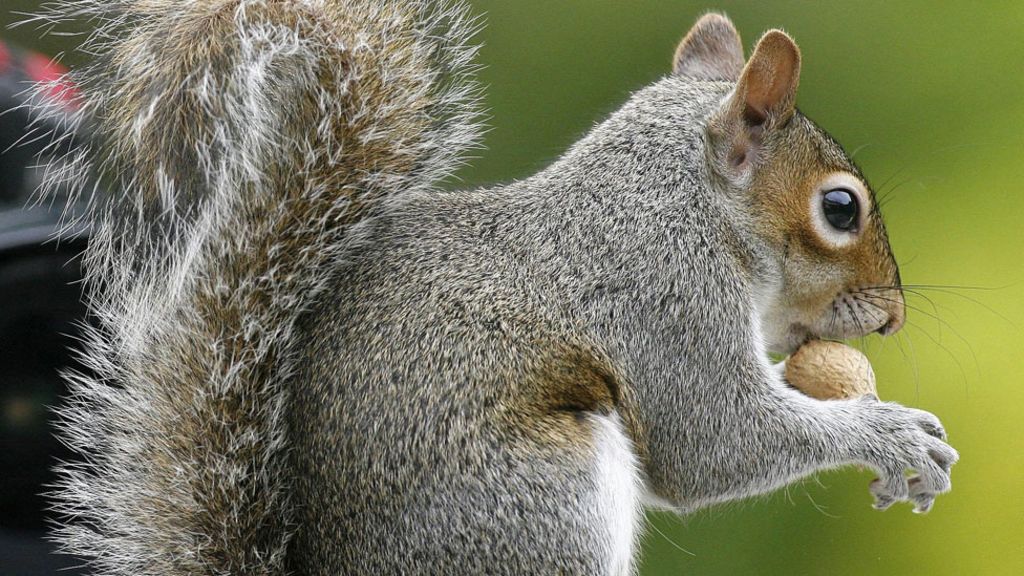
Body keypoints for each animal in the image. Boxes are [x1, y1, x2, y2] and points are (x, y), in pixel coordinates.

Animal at [41, 1, 958, 574]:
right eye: (839, 208)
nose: (892, 316)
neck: (680, 203)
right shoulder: (667, 298)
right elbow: (717, 441)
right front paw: (890, 435)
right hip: (543, 500)